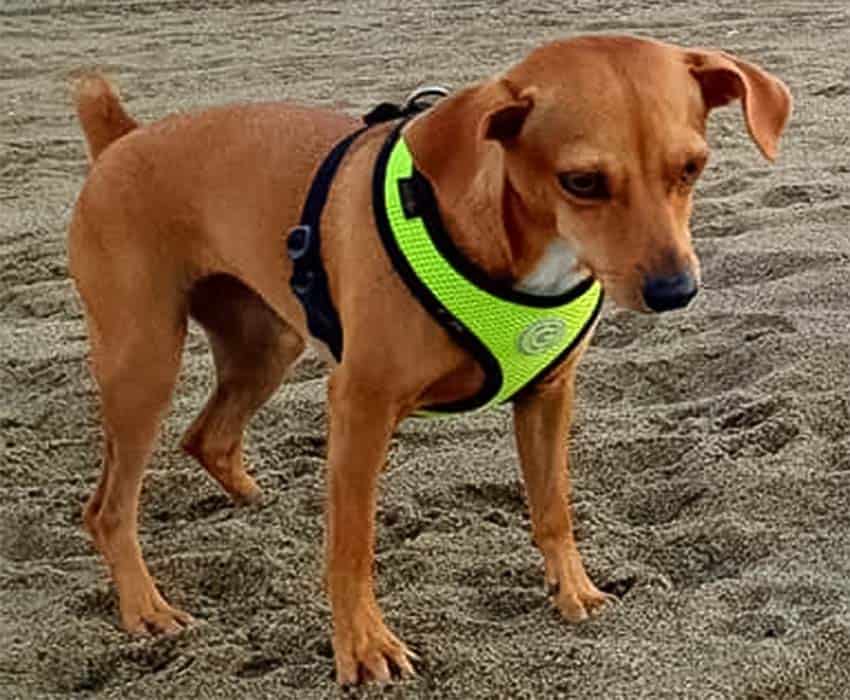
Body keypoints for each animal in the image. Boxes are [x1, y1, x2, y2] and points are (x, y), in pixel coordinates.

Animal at [69, 35, 792, 688]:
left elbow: (553, 507)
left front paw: (573, 590)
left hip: (265, 346)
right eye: (582, 182)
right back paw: (145, 607)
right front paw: (363, 647)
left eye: (692, 168)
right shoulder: (361, 406)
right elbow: (351, 546)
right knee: (109, 508)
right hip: (144, 363)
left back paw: (255, 499)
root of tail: (125, 140)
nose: (676, 290)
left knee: (208, 436)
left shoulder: (548, 395)